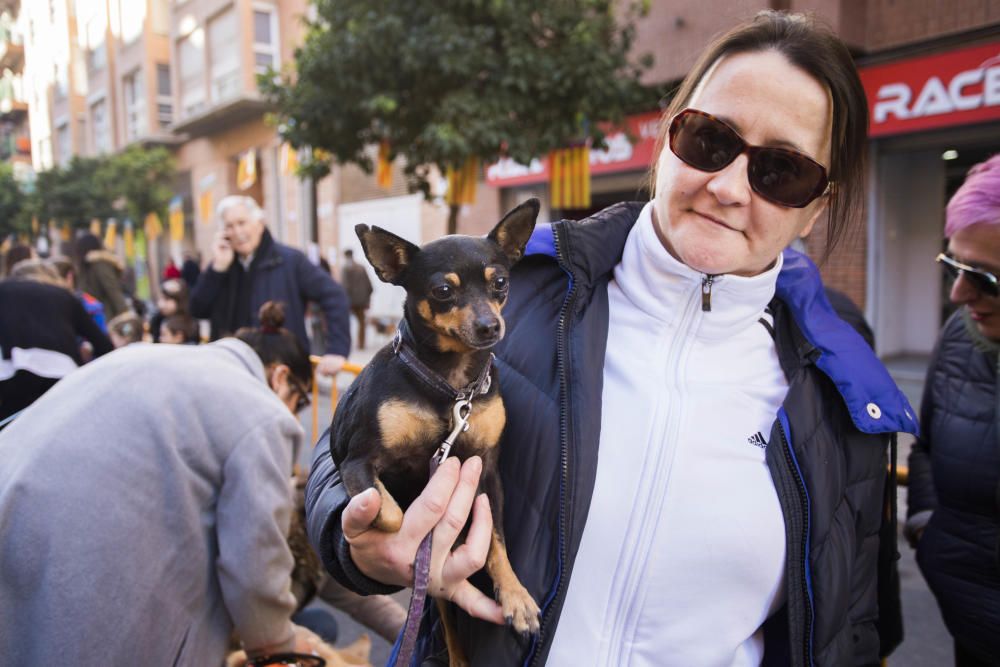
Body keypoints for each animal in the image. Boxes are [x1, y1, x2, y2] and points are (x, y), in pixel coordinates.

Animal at [330, 198, 540, 664]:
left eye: (500, 283)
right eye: (443, 291)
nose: (489, 326)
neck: (452, 386)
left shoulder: (487, 471)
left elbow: (497, 539)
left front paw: (515, 595)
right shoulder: (359, 462)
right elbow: (391, 514)